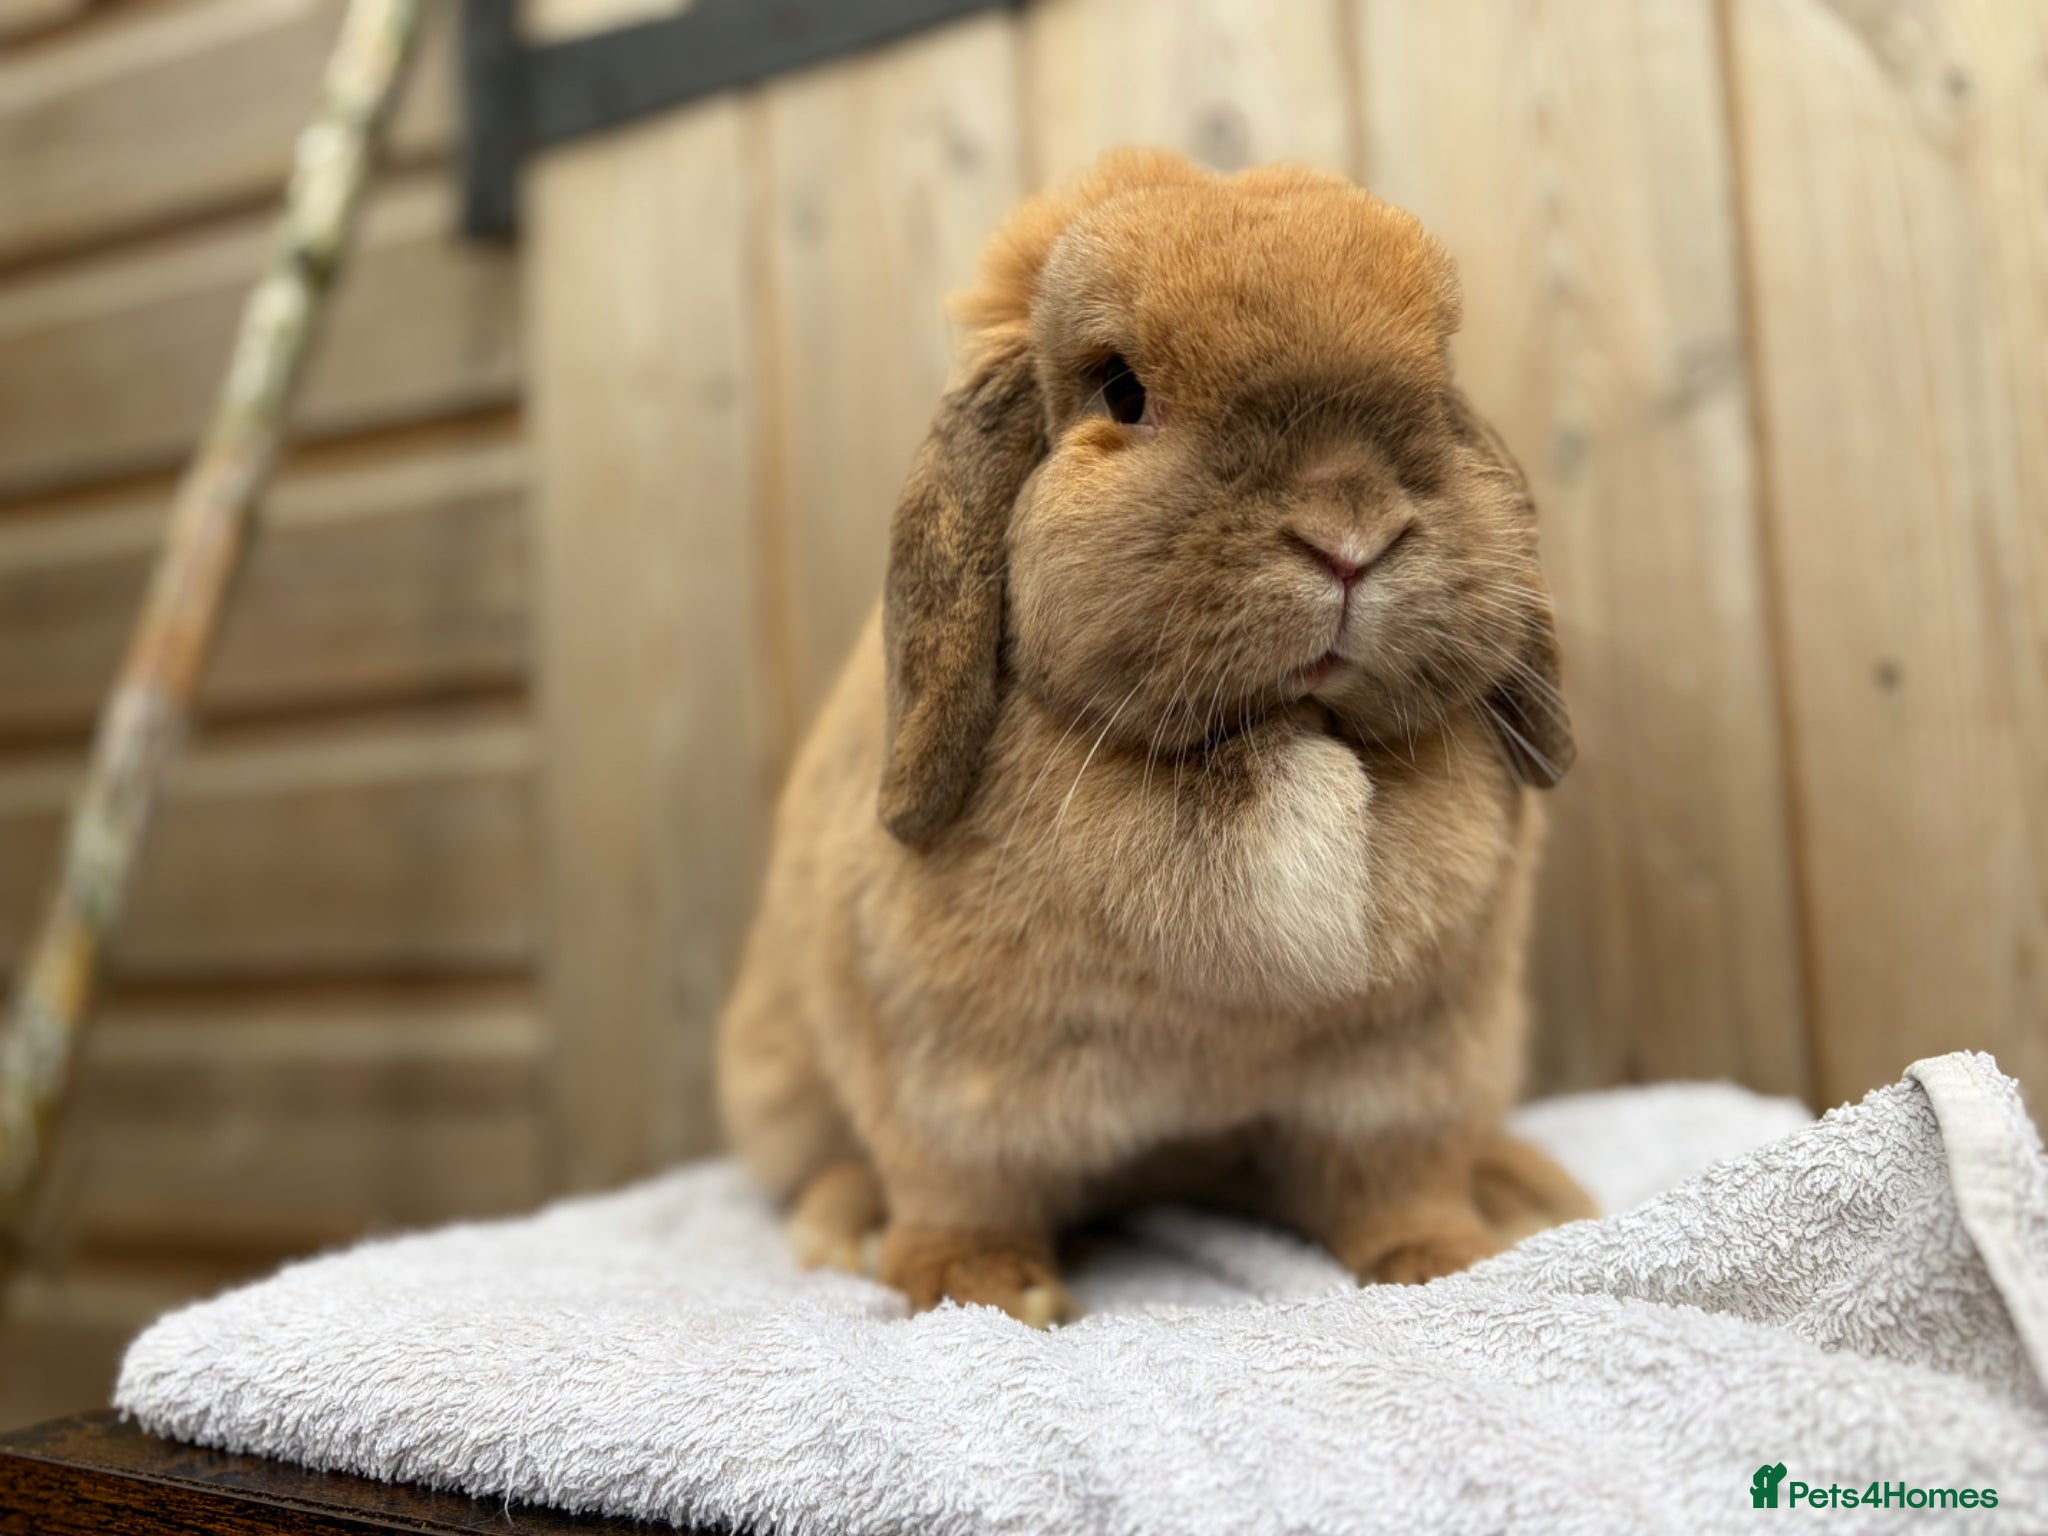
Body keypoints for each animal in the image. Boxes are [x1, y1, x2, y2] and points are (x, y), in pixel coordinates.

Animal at [718, 149, 1593, 1327]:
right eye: (1122, 391)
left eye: (1436, 373)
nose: (1350, 531)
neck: (1277, 739)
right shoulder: (945, 1076)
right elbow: (960, 1184)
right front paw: (983, 1288)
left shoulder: (1404, 1075)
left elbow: (1396, 1182)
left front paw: (1442, 1258)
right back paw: (852, 1221)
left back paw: (1515, 1191)